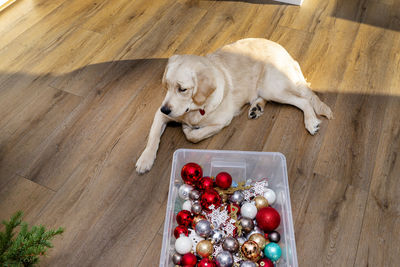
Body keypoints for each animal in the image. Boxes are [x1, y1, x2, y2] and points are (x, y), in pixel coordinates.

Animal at [136, 38, 332, 175]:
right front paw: (145, 159)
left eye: (182, 89)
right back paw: (256, 108)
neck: (194, 108)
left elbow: (194, 136)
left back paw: (311, 122)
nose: (165, 109)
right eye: (166, 86)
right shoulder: (160, 115)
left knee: (304, 100)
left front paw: (188, 129)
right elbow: (153, 136)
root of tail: (286, 52)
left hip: (272, 88)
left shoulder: (222, 121)